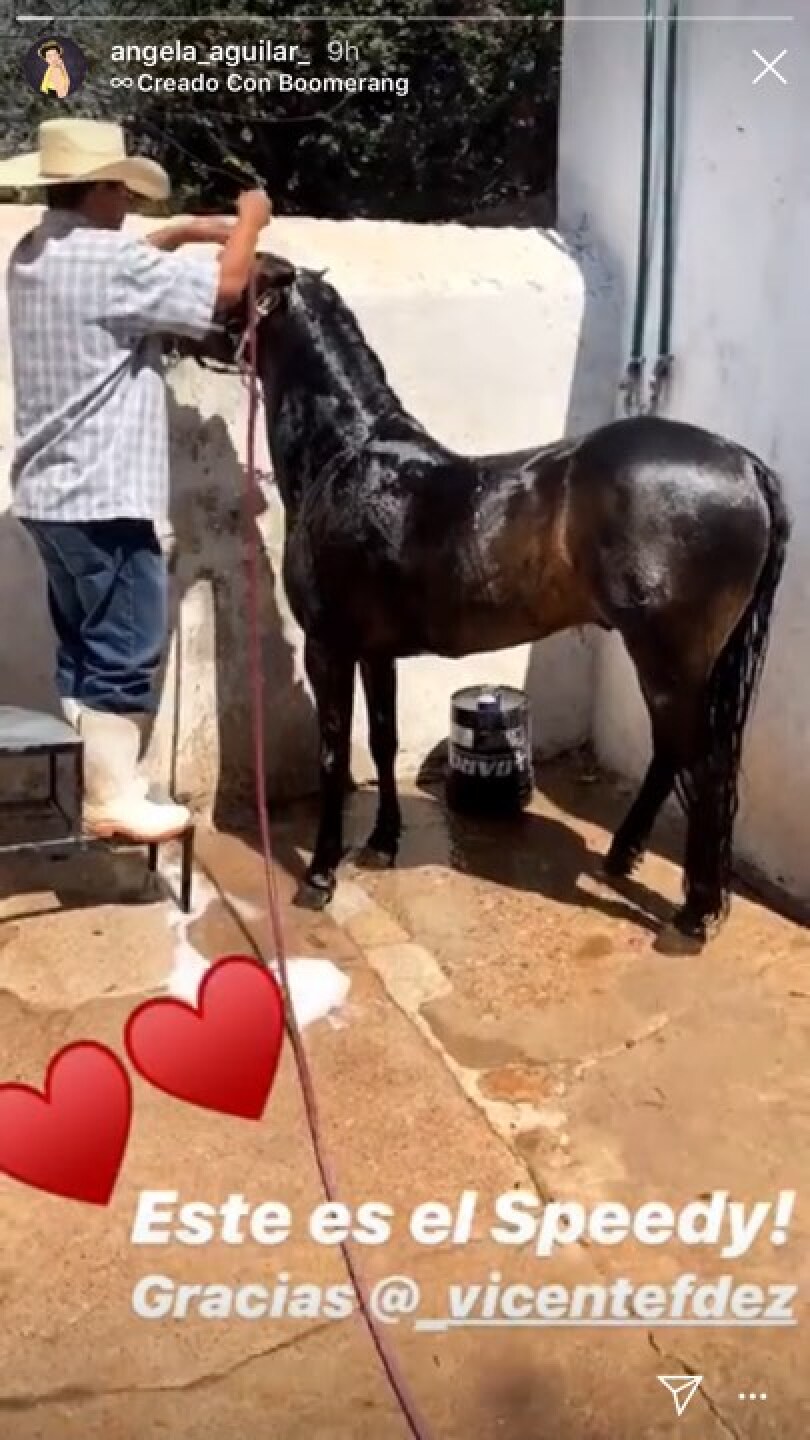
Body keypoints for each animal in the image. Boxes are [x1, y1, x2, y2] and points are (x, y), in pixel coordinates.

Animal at [183, 253, 791, 943]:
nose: (176, 331)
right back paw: (623, 859)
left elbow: (333, 754)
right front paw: (382, 844)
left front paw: (319, 876)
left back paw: (692, 915)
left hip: (669, 660)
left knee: (703, 766)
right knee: (672, 754)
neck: (347, 459)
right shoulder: (376, 651)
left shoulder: (328, 646)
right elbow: (383, 740)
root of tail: (744, 465)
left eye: (231, 275)